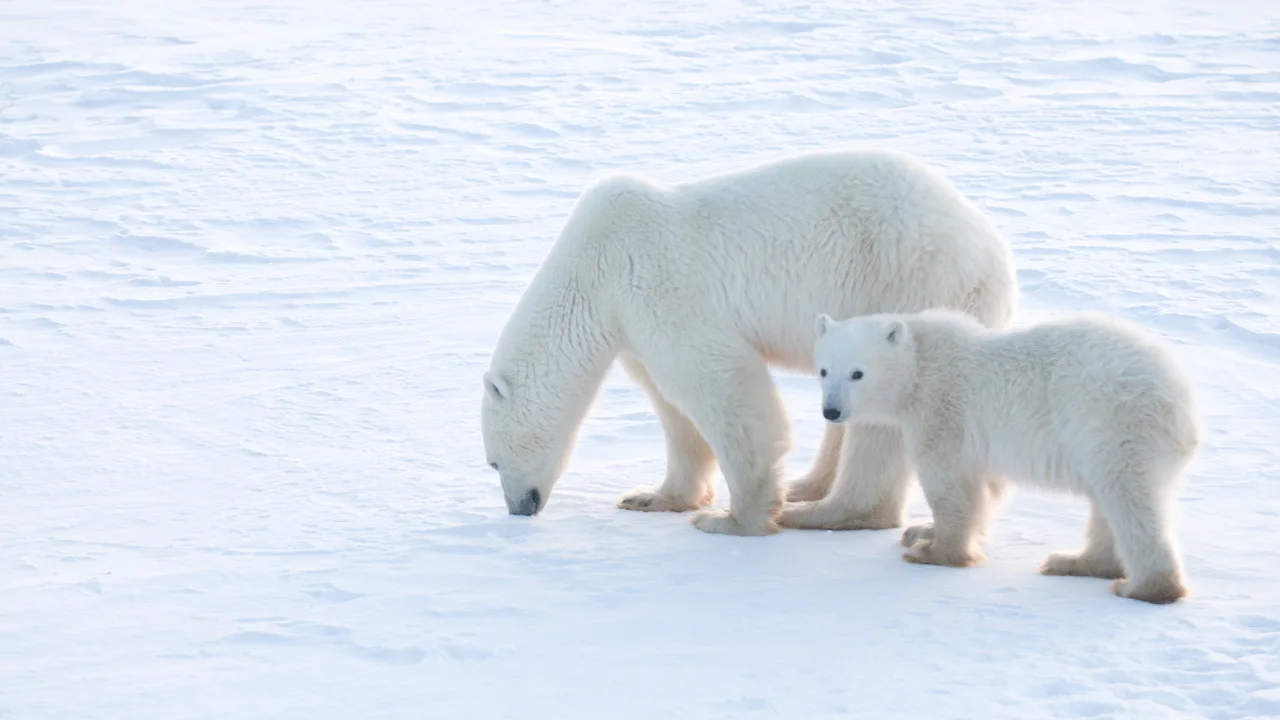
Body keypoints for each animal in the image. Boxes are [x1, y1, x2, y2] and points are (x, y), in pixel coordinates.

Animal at [481, 147, 1018, 532]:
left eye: (492, 461)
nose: (519, 509)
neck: (592, 267)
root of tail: (995, 258)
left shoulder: (656, 283)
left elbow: (721, 383)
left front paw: (735, 519)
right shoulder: (632, 325)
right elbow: (670, 402)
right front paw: (652, 497)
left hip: (908, 283)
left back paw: (827, 511)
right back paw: (808, 486)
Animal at [808, 307, 1198, 599]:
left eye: (857, 373)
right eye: (823, 370)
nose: (831, 411)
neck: (921, 362)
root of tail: (1182, 400)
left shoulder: (942, 409)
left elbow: (950, 483)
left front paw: (934, 552)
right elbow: (988, 487)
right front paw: (921, 531)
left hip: (1114, 424)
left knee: (1129, 501)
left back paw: (1143, 587)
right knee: (1106, 504)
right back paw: (1074, 562)